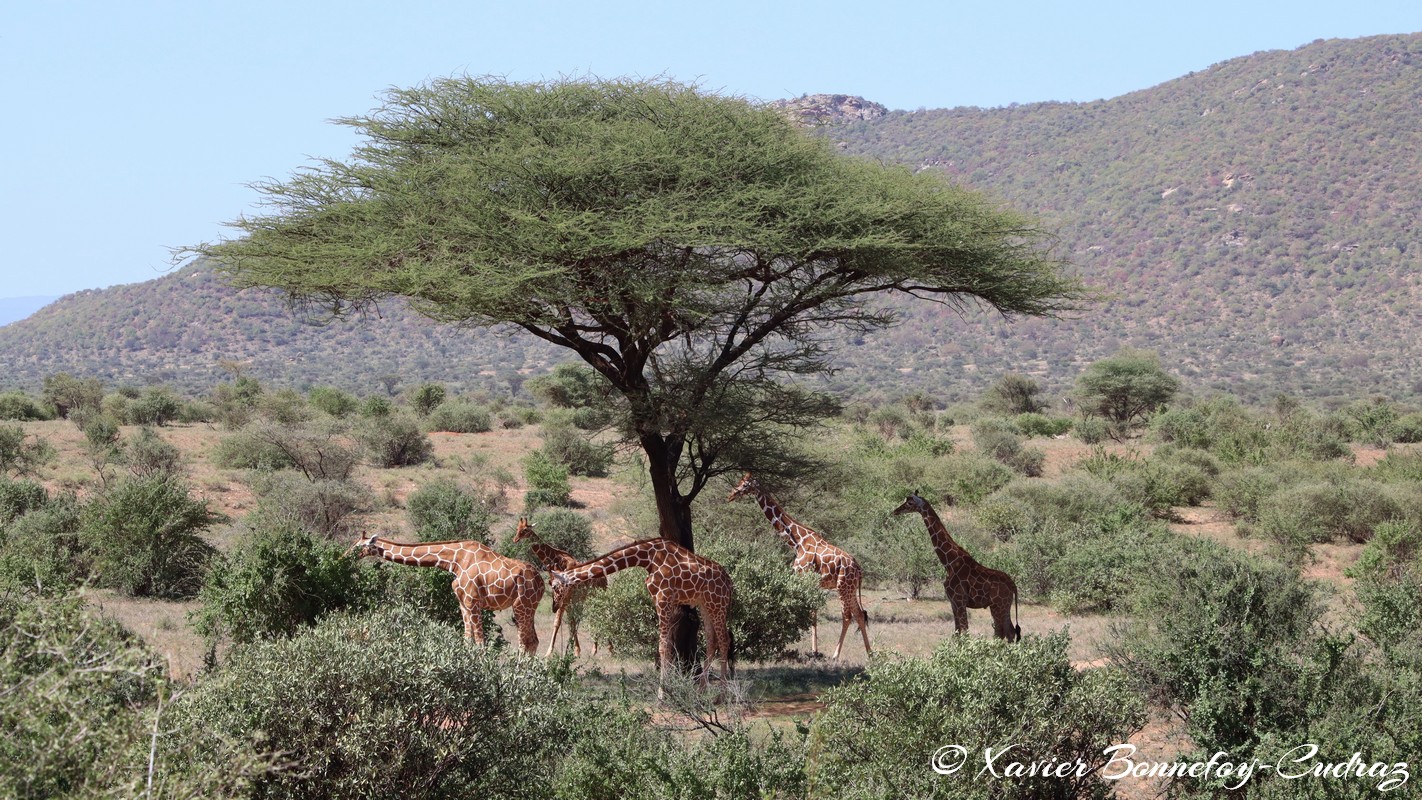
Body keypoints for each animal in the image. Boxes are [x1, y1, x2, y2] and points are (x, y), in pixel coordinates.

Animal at [349, 531, 543, 656]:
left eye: (357, 546)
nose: (345, 555)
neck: (454, 561)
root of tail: (541, 582)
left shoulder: (473, 601)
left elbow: (480, 641)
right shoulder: (463, 603)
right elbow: (467, 639)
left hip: (521, 605)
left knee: (526, 641)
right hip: (529, 607)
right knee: (533, 640)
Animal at [511, 520, 605, 656]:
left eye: (525, 530)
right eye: (517, 528)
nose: (515, 539)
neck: (559, 561)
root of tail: (605, 578)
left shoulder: (565, 598)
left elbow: (558, 622)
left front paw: (549, 652)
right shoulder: (565, 599)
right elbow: (570, 621)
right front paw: (575, 650)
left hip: (598, 595)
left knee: (600, 615)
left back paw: (600, 649)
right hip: (584, 598)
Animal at [551, 537, 739, 701]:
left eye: (553, 586)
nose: (554, 607)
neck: (647, 558)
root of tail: (729, 582)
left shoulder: (663, 599)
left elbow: (663, 646)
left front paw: (662, 695)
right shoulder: (658, 599)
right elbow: (667, 646)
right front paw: (667, 691)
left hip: (717, 604)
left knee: (724, 640)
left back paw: (721, 696)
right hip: (705, 604)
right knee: (711, 641)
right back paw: (701, 691)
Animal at [728, 471, 870, 659]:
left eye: (745, 484)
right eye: (740, 481)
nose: (731, 495)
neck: (797, 542)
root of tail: (859, 569)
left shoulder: (802, 575)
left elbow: (804, 611)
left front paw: (811, 651)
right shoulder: (809, 581)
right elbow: (812, 612)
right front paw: (814, 651)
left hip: (842, 587)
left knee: (847, 616)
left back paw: (835, 655)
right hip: (851, 588)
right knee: (860, 614)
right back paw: (870, 653)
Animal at [887, 491, 1023, 642]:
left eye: (910, 503)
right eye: (906, 500)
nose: (896, 511)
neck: (949, 562)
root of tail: (1013, 586)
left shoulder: (959, 600)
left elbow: (965, 632)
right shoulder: (953, 602)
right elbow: (957, 632)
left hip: (998, 605)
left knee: (1005, 631)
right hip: (1003, 605)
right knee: (1007, 631)